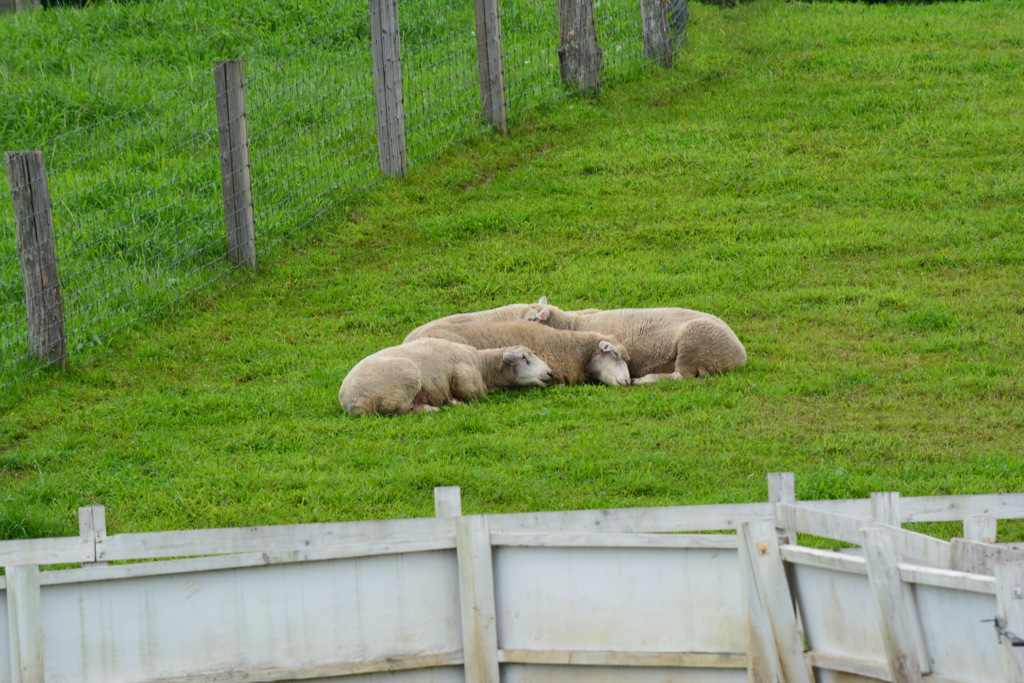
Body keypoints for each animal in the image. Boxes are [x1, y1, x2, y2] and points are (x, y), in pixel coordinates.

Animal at [337, 337, 552, 417]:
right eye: (524, 358)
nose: (550, 373)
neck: (482, 365)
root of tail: (353, 402)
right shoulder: (463, 377)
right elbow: (469, 396)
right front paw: (456, 402)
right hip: (407, 377)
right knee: (403, 411)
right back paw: (435, 408)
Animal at [524, 301, 749, 382]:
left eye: (530, 319)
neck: (573, 324)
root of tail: (739, 357)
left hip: (693, 345)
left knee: (679, 376)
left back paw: (642, 380)